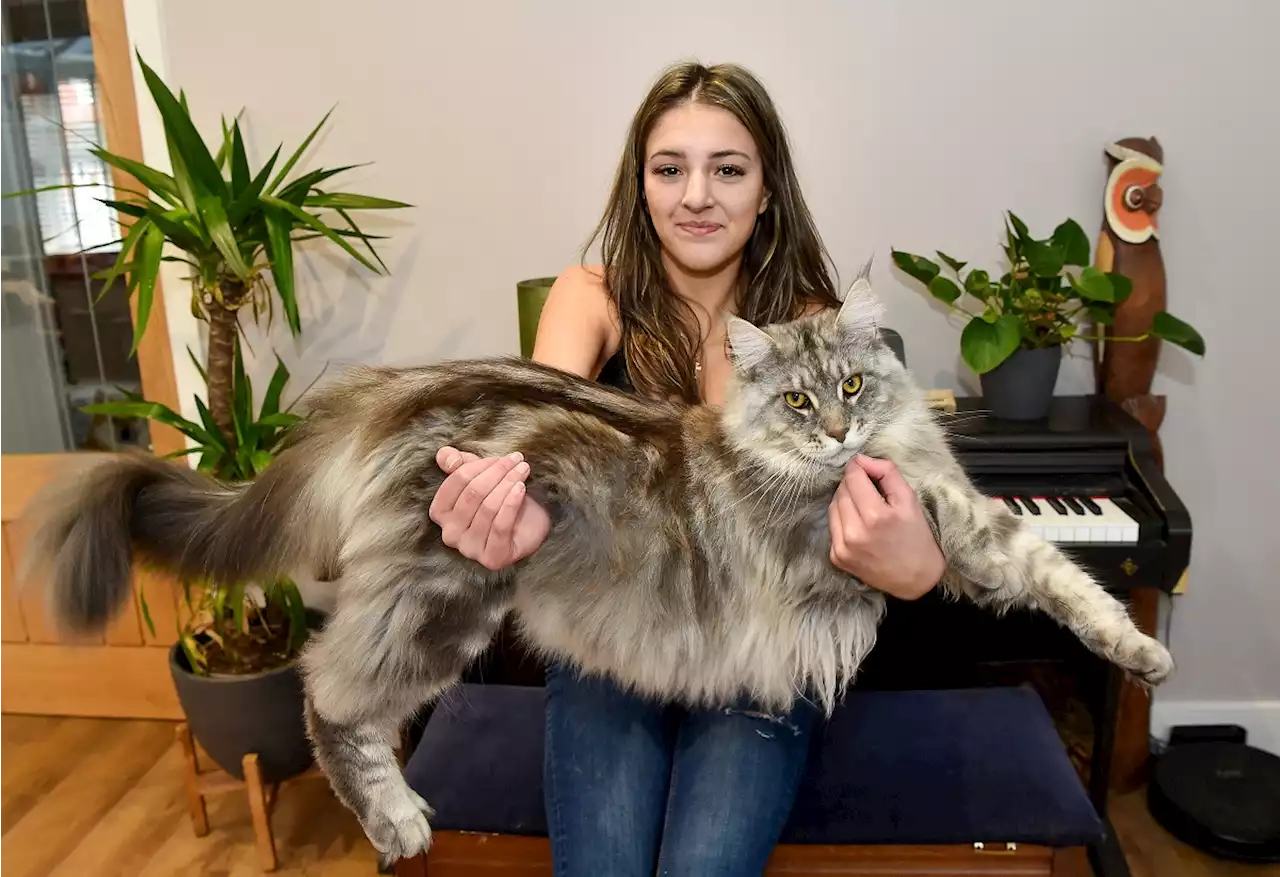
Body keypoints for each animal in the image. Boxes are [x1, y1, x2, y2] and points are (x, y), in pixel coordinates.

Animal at [22, 275, 1172, 870]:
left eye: (850, 384)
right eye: (799, 402)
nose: (841, 432)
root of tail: (396, 394)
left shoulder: (966, 527)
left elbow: (1064, 580)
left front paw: (1139, 651)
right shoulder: (883, 539)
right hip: (441, 601)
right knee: (323, 693)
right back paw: (396, 820)